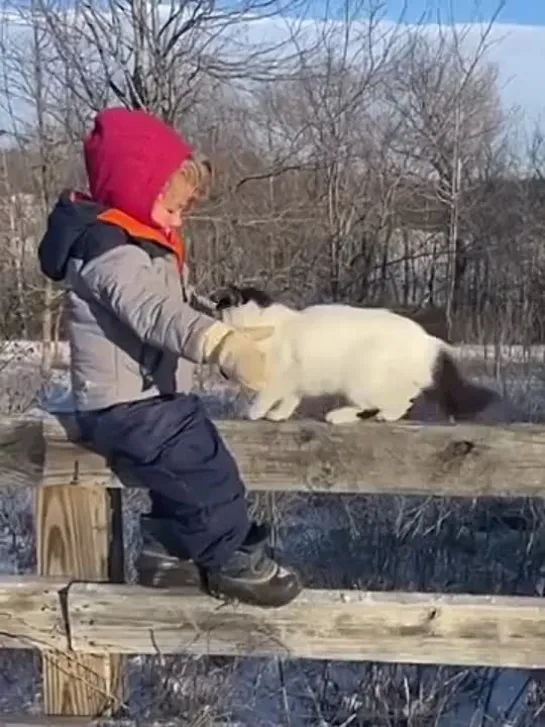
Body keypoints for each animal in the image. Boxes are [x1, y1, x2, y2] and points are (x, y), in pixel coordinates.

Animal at [210, 282, 508, 424]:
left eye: (222, 307)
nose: (215, 310)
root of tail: (428, 341)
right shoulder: (294, 382)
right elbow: (289, 400)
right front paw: (278, 415)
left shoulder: (279, 377)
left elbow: (266, 397)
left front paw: (252, 412)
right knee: (404, 398)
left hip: (361, 380)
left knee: (397, 402)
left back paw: (347, 416)